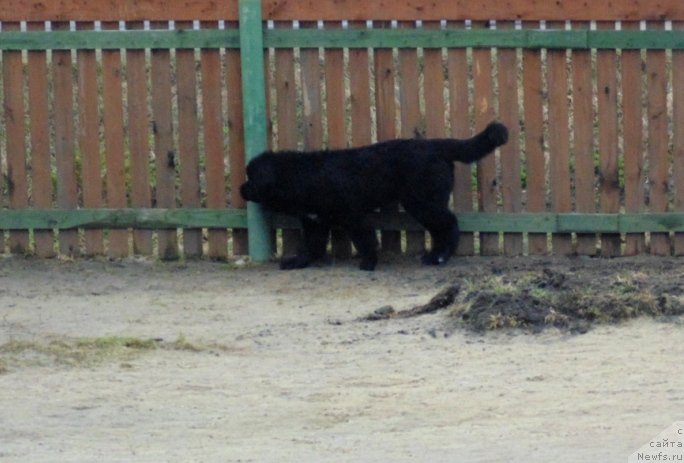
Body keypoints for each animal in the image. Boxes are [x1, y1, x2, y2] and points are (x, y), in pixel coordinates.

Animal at [240, 121, 508, 272]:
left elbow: (365, 240)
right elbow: (312, 247)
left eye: (251, 178)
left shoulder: (353, 216)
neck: (302, 176)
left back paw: (439, 257)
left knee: (449, 223)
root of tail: (435, 145)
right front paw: (298, 262)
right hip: (426, 203)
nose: (241, 189)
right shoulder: (314, 221)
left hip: (422, 202)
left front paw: (368, 263)